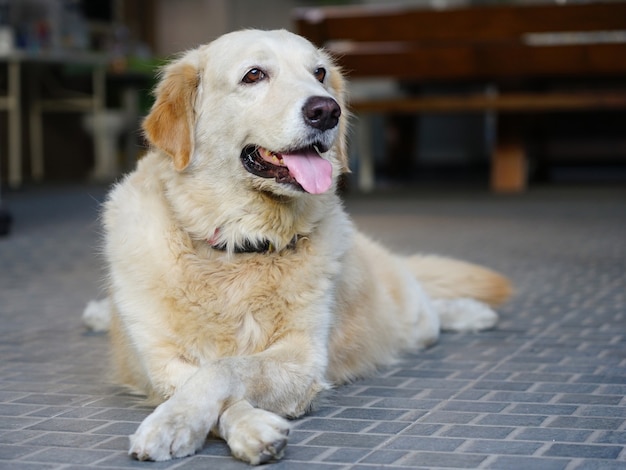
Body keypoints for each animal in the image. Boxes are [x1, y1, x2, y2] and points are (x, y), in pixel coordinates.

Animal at [83, 29, 510, 466]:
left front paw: (183, 422)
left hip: (411, 317)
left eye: (318, 73)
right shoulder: (159, 362)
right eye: (254, 75)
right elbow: (205, 379)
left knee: (430, 309)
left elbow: (224, 369)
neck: (241, 243)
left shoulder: (302, 361)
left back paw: (472, 313)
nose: (327, 111)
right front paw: (197, 423)